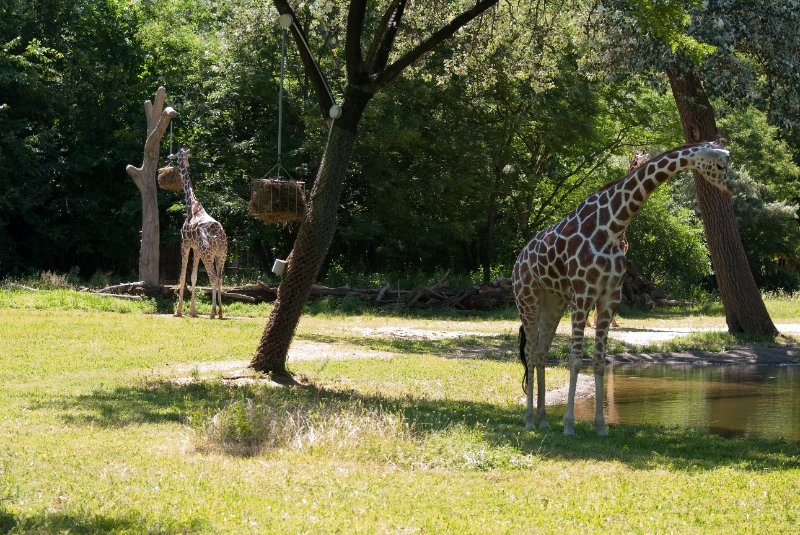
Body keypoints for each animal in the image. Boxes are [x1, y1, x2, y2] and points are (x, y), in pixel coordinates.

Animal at [174, 146, 228, 319]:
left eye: (178, 155)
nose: (185, 164)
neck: (192, 205)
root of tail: (219, 235)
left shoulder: (185, 244)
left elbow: (183, 276)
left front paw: (178, 311)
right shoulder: (196, 249)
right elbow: (194, 277)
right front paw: (192, 311)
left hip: (208, 254)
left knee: (213, 278)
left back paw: (212, 312)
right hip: (221, 255)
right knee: (219, 278)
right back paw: (220, 312)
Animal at [512, 140, 731, 435]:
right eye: (720, 165)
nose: (730, 190)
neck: (613, 225)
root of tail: (518, 259)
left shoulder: (608, 296)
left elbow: (599, 361)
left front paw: (601, 427)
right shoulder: (582, 295)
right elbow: (575, 359)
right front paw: (569, 426)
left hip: (553, 302)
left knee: (539, 353)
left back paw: (543, 419)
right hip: (528, 297)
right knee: (529, 353)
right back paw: (529, 421)